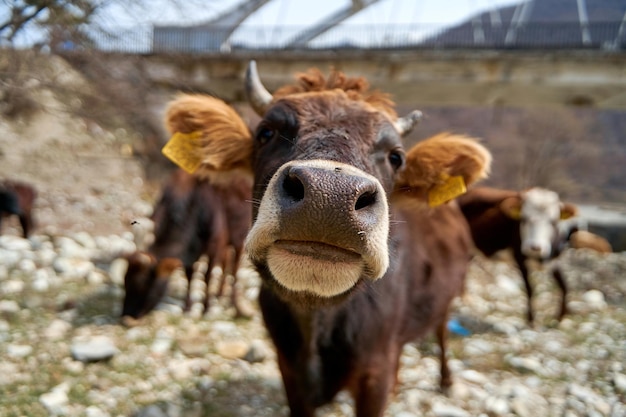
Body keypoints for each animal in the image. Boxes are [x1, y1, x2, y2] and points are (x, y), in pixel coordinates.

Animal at [120, 169, 250, 318]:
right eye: (125, 280)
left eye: (142, 284)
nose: (126, 315)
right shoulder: (192, 252)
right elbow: (189, 275)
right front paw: (187, 307)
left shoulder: (215, 244)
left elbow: (207, 276)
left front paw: (206, 308)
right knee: (225, 261)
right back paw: (219, 293)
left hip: (239, 238)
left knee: (234, 266)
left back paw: (230, 300)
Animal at [163, 61, 490, 416]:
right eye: (266, 133)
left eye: (396, 157)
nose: (330, 196)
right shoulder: (289, 371)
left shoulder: (375, 372)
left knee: (442, 330)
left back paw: (446, 380)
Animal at [454, 187, 576, 324]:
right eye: (524, 219)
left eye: (553, 222)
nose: (535, 247)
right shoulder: (520, 258)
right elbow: (530, 289)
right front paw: (530, 320)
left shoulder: (555, 260)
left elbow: (565, 287)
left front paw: (561, 316)